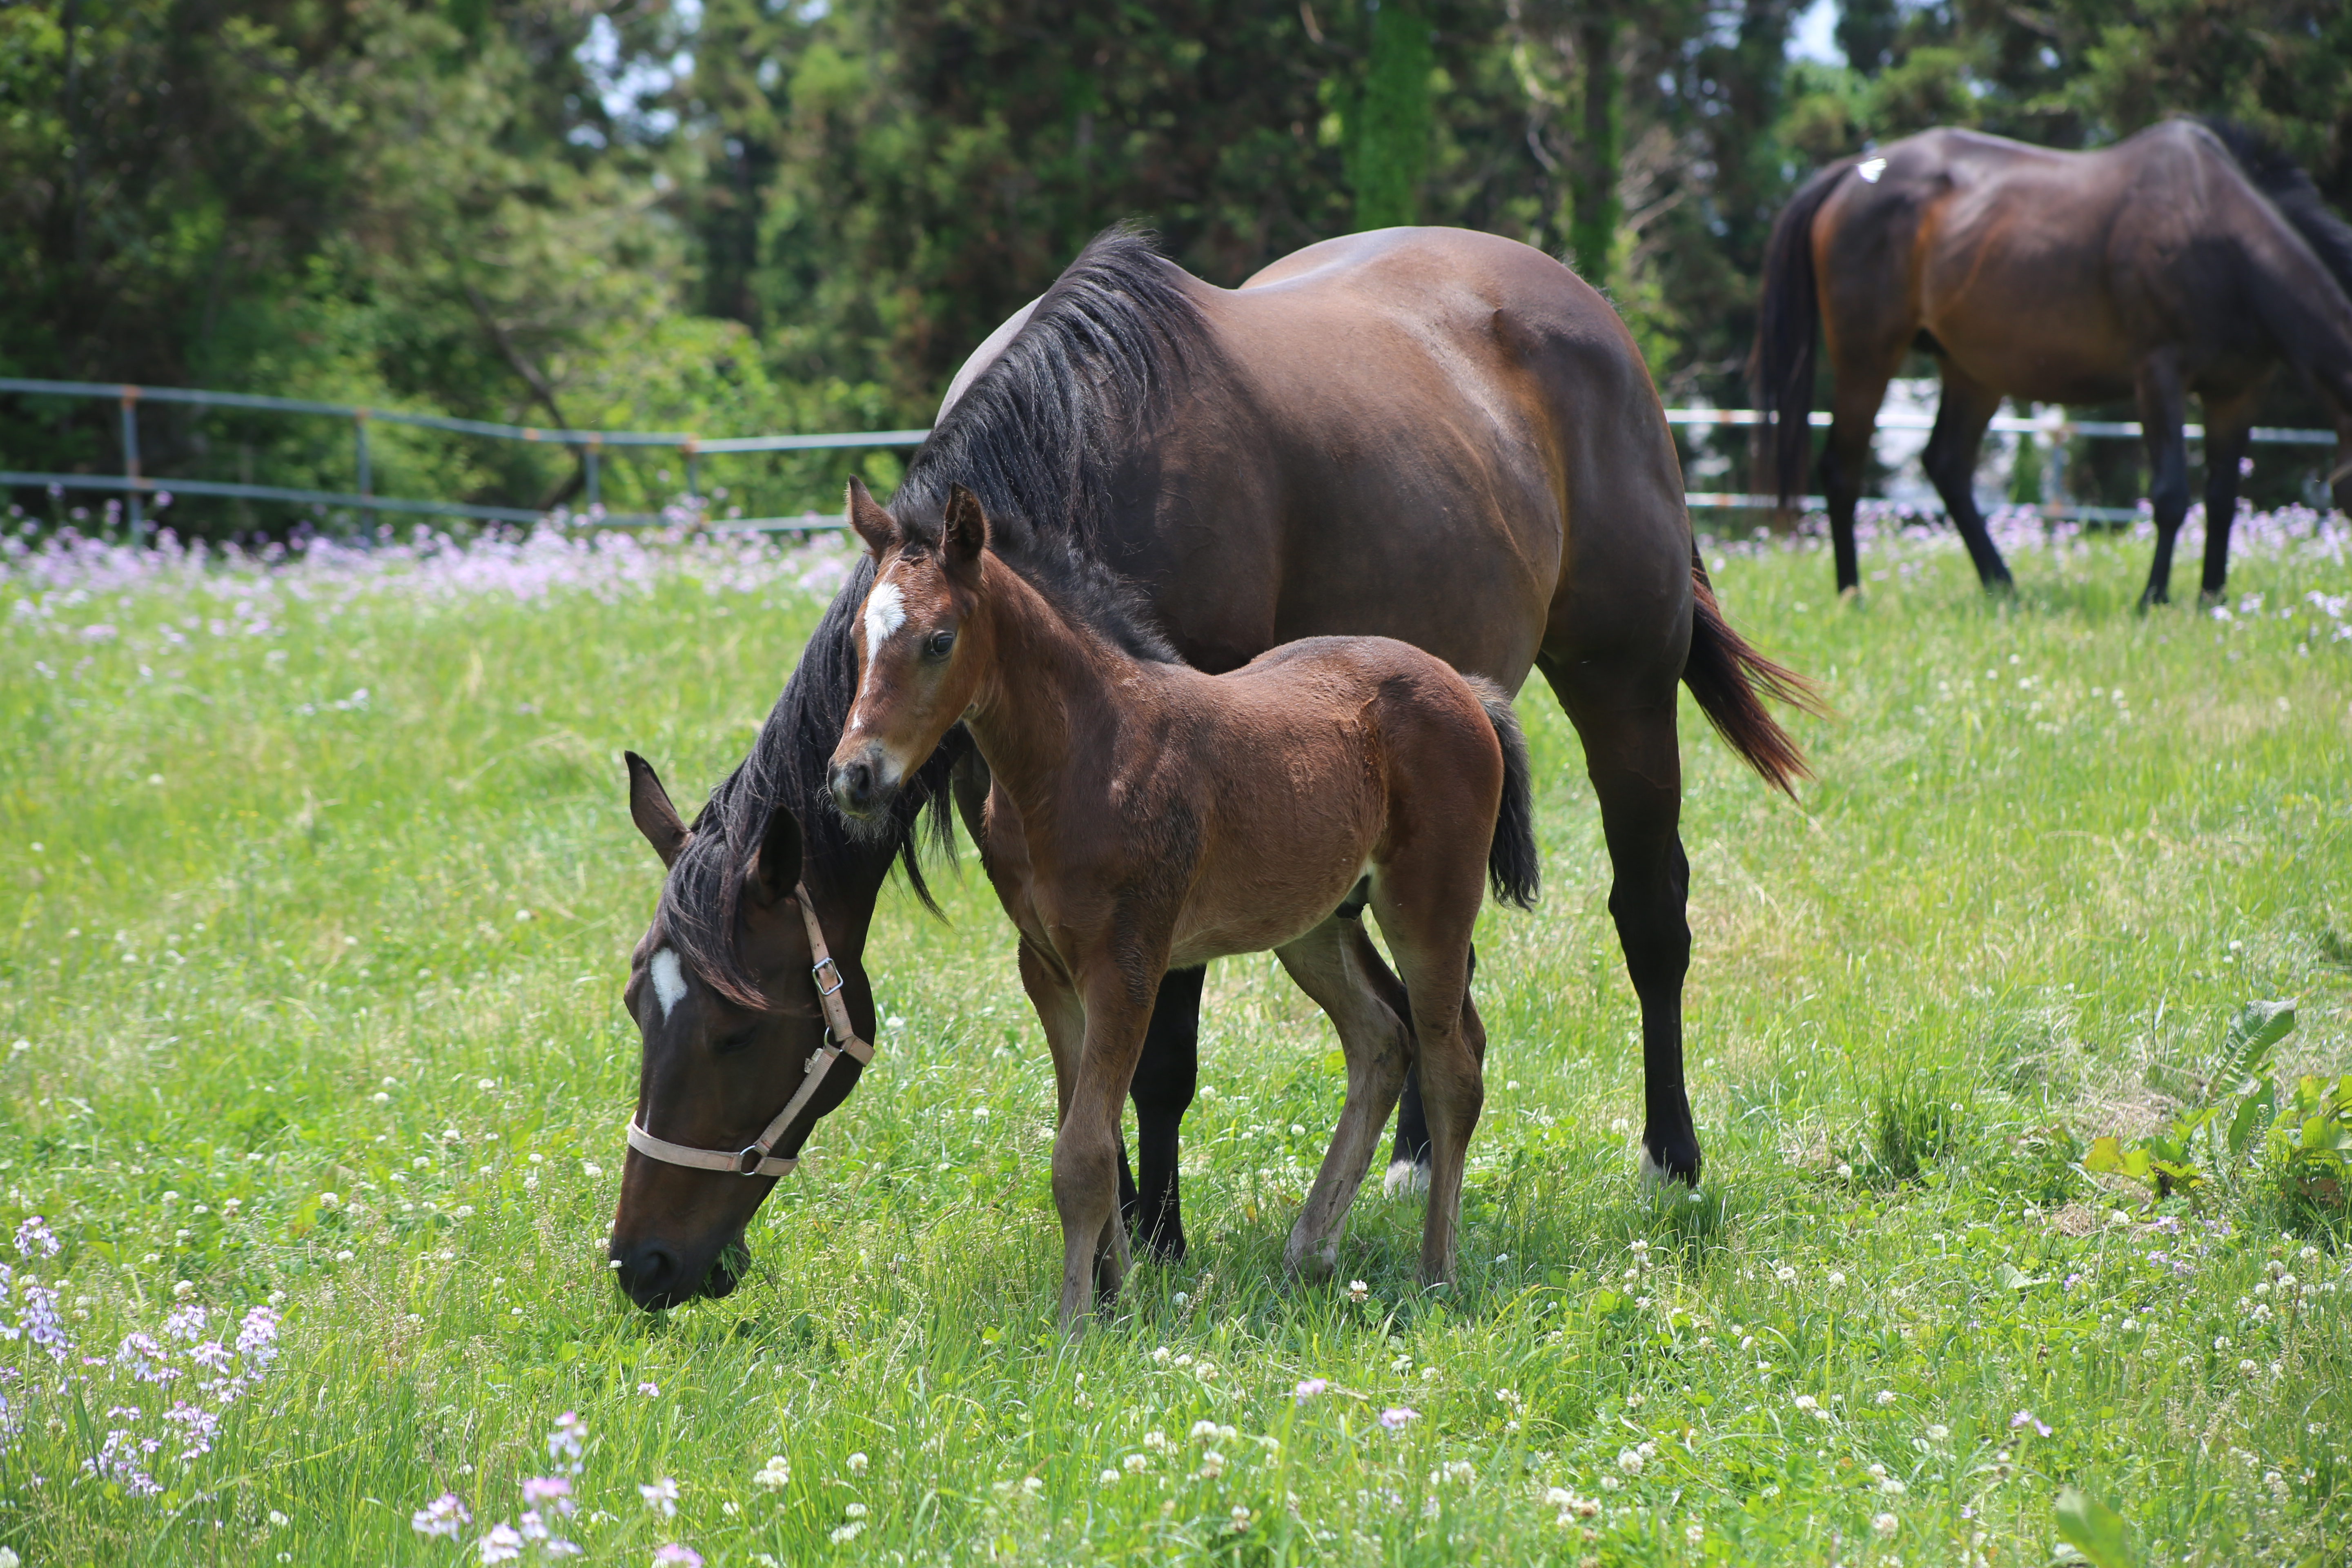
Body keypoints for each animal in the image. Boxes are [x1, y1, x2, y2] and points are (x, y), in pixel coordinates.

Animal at [833, 484, 1543, 1335]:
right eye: (856, 640)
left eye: (939, 641)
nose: (853, 776)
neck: (1080, 757)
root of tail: (1465, 687)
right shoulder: (1046, 969)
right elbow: (1092, 1136)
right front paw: (1114, 1296)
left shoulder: (1127, 964)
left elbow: (1082, 1154)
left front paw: (1076, 1324)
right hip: (1316, 922)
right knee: (1381, 1038)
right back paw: (1310, 1250)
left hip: (1429, 905)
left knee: (1451, 1067)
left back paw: (1436, 1272)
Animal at [1759, 116, 2352, 606]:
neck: (2216, 227)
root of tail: (1851, 174)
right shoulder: (2158, 372)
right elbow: (2170, 495)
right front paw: (2153, 600)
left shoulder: (2240, 392)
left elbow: (2224, 498)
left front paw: (2213, 601)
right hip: (1867, 355)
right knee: (1843, 469)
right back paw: (1852, 593)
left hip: (1973, 372)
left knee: (1947, 465)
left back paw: (2003, 588)